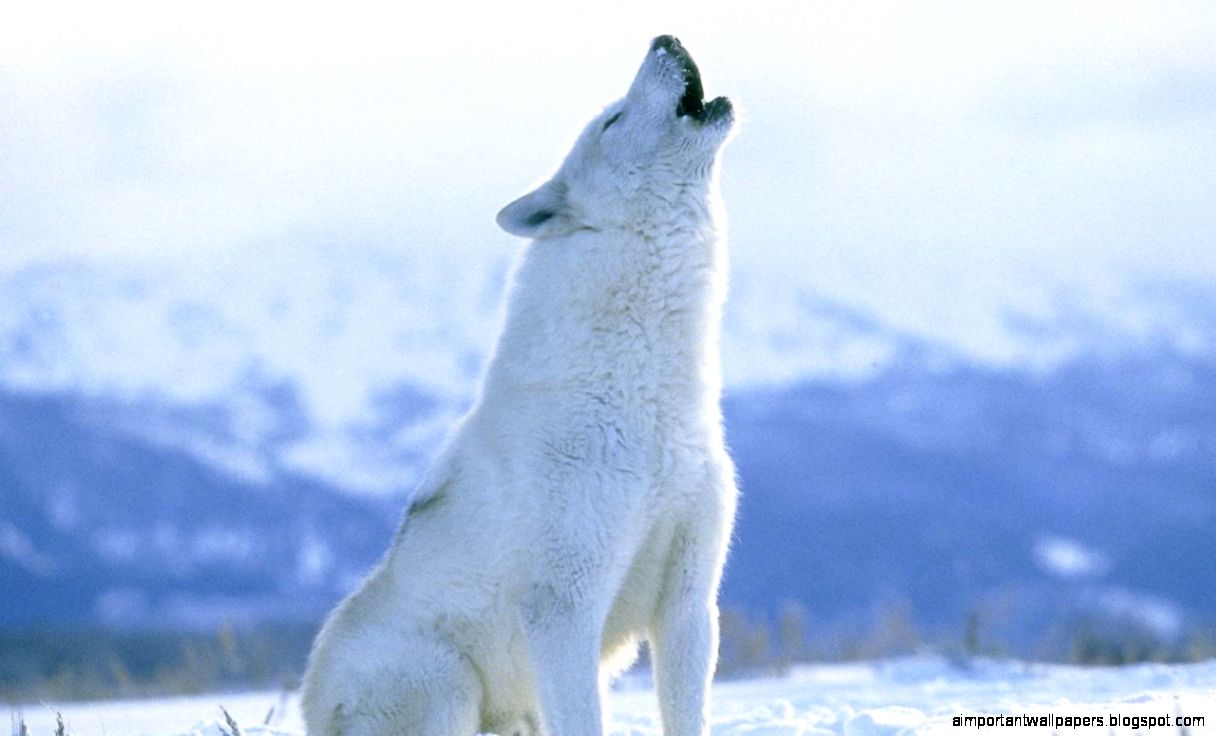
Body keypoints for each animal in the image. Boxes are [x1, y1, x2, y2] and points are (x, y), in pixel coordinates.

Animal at [301, 35, 738, 736]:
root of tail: (309, 709)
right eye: (612, 120)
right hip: (447, 682)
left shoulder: (691, 604)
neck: (645, 403)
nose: (664, 38)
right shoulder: (564, 611)